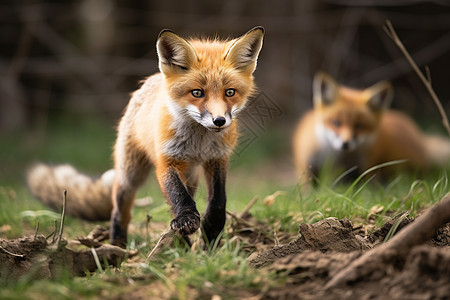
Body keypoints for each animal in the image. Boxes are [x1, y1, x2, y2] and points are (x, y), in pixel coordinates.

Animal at [27, 25, 264, 247]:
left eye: (230, 92)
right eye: (197, 93)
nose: (219, 121)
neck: (199, 143)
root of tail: (150, 80)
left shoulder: (217, 159)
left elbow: (217, 200)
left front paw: (211, 231)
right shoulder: (166, 160)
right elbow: (178, 194)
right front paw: (187, 219)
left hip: (191, 175)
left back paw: (181, 244)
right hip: (130, 174)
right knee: (119, 210)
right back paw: (118, 246)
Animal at [294, 71, 450, 186]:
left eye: (359, 126)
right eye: (336, 123)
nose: (345, 144)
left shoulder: (361, 167)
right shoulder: (307, 162)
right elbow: (307, 185)